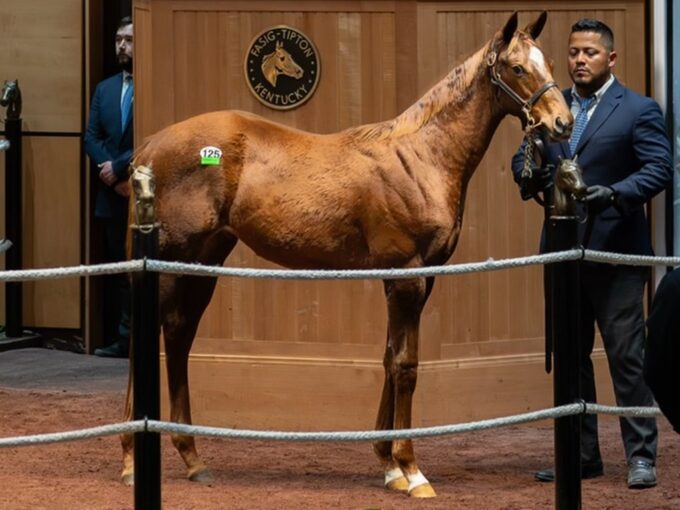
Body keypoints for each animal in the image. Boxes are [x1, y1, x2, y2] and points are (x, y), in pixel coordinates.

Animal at [123, 11, 572, 498]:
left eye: (549, 62)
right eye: (517, 68)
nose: (562, 123)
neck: (422, 158)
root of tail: (150, 147)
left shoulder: (417, 277)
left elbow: (390, 358)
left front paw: (389, 465)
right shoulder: (408, 276)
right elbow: (406, 365)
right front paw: (412, 470)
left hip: (203, 261)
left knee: (178, 335)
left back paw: (192, 458)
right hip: (171, 262)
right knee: (146, 338)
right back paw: (130, 459)